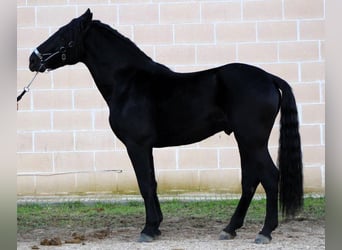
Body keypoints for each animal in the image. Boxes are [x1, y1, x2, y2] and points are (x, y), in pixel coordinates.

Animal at [28, 9, 302, 244]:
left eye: (63, 34)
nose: (33, 59)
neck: (128, 82)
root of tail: (269, 78)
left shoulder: (137, 145)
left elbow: (145, 183)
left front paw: (148, 229)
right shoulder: (145, 146)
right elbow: (152, 181)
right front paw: (156, 226)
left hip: (252, 141)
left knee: (270, 177)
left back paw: (264, 232)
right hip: (245, 141)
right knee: (250, 181)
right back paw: (229, 229)